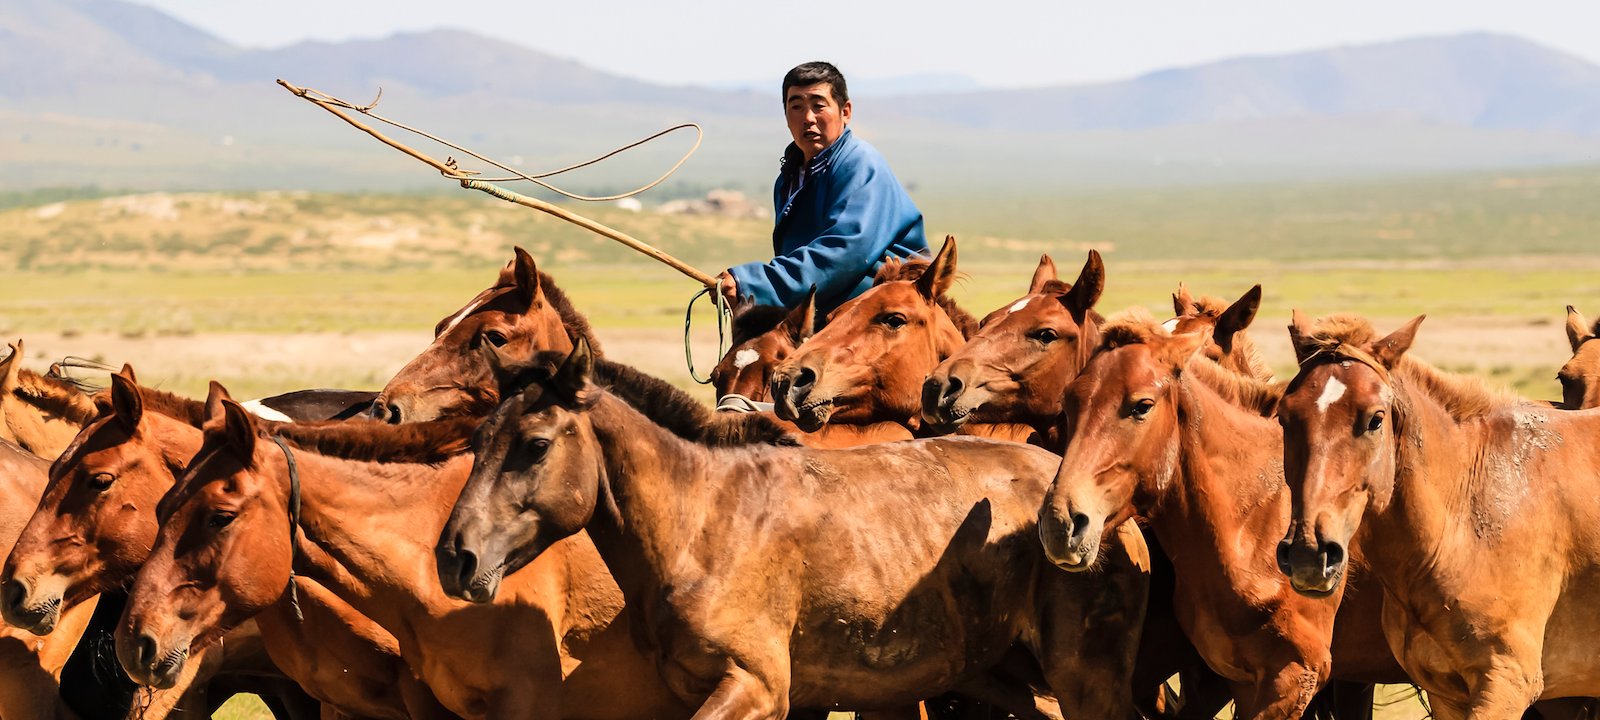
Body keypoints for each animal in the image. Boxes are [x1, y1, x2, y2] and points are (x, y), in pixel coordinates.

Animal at [437, 340, 1151, 719]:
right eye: (478, 439)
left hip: (1085, 678)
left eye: (533, 446)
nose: (454, 558)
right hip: (998, 672)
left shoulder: (757, 689)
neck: (703, 524)